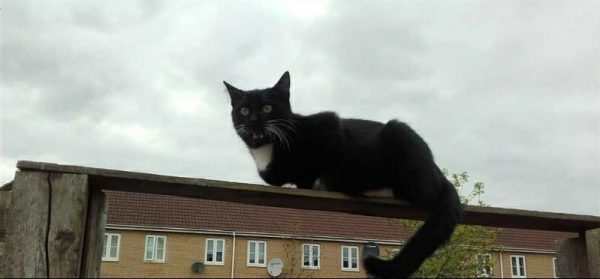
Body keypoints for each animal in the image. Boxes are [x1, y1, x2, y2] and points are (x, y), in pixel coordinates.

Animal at [225, 71, 464, 278]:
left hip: (401, 137)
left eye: (267, 107)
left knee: (422, 192)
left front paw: (310, 182)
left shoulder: (330, 125)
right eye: (244, 111)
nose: (253, 120)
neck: (269, 147)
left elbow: (326, 163)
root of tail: (437, 172)